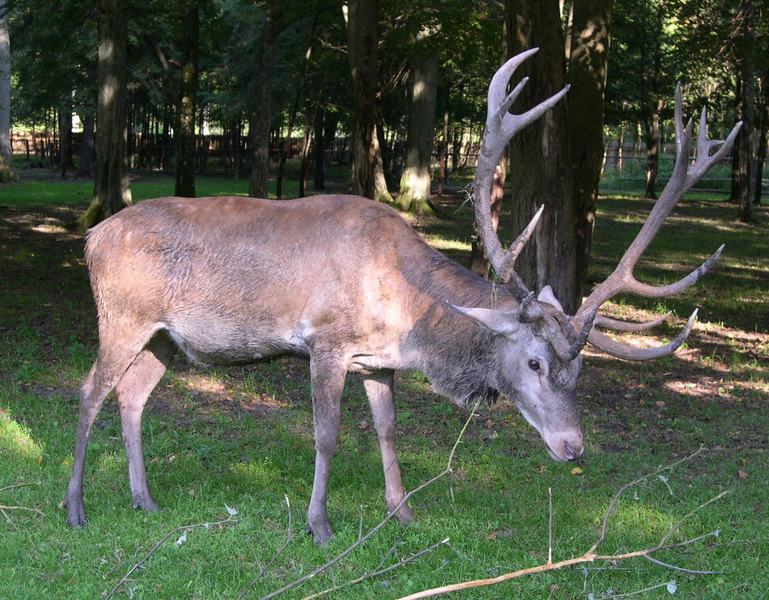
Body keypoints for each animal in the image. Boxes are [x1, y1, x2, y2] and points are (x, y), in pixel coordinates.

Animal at [64, 48, 736, 544]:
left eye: (582, 369)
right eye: (534, 362)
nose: (573, 447)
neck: (410, 323)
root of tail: (91, 236)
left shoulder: (377, 361)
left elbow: (389, 432)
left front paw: (404, 512)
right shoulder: (326, 341)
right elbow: (328, 434)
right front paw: (319, 525)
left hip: (163, 337)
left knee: (133, 398)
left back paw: (145, 500)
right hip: (121, 314)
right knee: (90, 391)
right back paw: (75, 508)